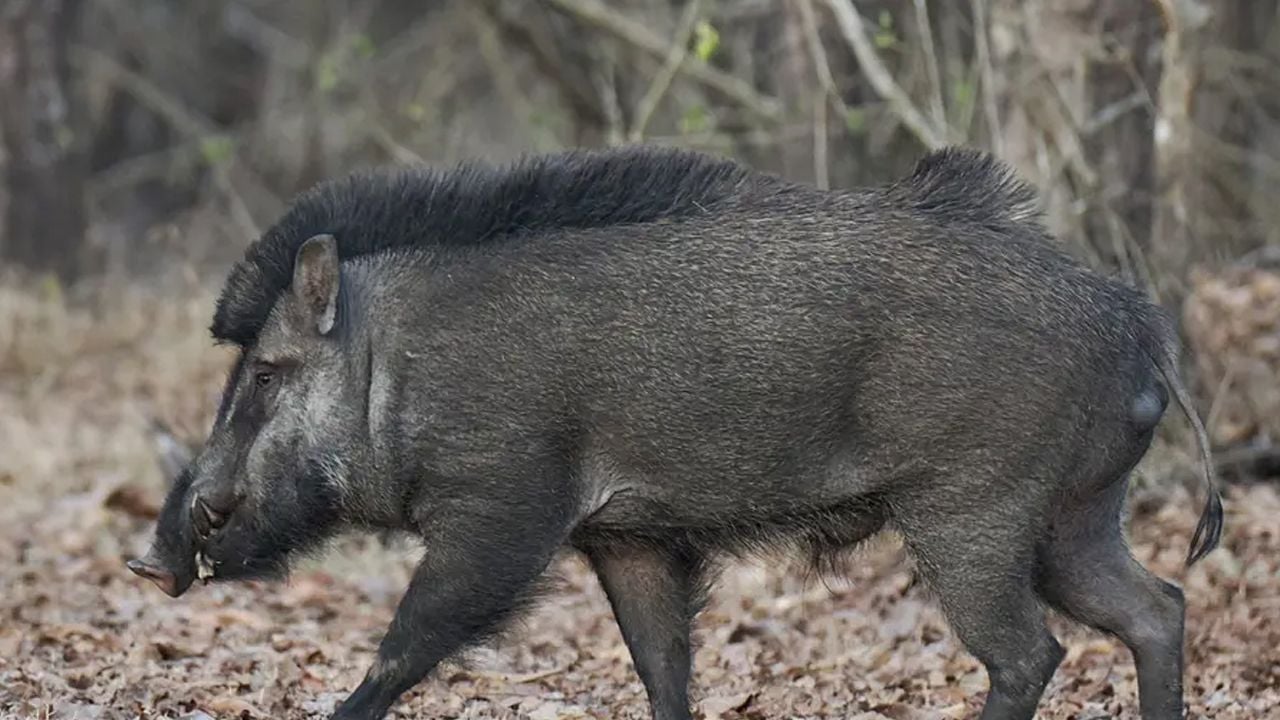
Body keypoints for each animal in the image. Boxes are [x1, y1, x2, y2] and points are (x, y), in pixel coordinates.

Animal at [128, 145, 1222, 720]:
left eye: (266, 373)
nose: (149, 561)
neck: (393, 363)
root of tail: (1136, 327)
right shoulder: (629, 535)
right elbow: (660, 662)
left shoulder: (503, 505)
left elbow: (410, 640)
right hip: (1077, 512)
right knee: (1155, 608)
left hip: (974, 508)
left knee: (1030, 651)